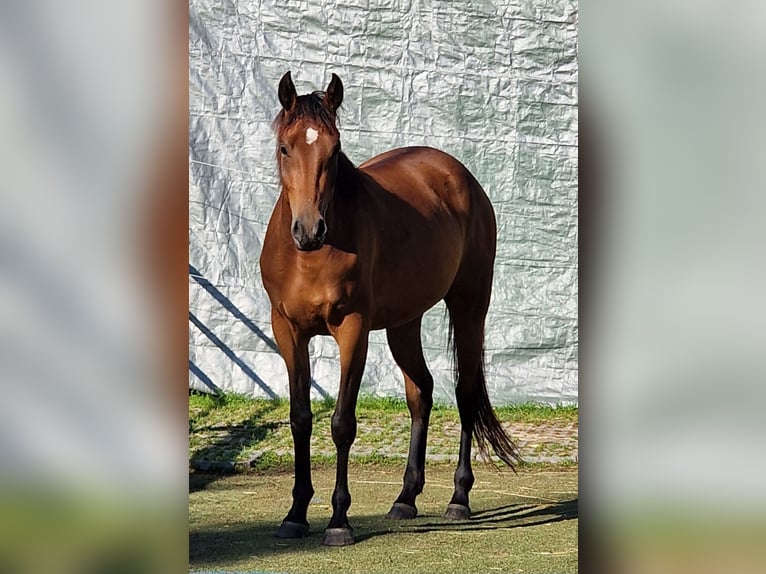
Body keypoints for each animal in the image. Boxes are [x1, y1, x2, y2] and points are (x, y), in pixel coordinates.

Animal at [260, 73, 520, 548]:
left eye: (334, 150)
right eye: (286, 147)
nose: (309, 231)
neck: (310, 257)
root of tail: (460, 175)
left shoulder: (353, 330)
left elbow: (342, 423)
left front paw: (339, 521)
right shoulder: (287, 331)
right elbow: (300, 419)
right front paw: (295, 514)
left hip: (470, 305)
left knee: (465, 392)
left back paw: (459, 498)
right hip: (404, 323)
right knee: (421, 392)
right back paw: (405, 498)